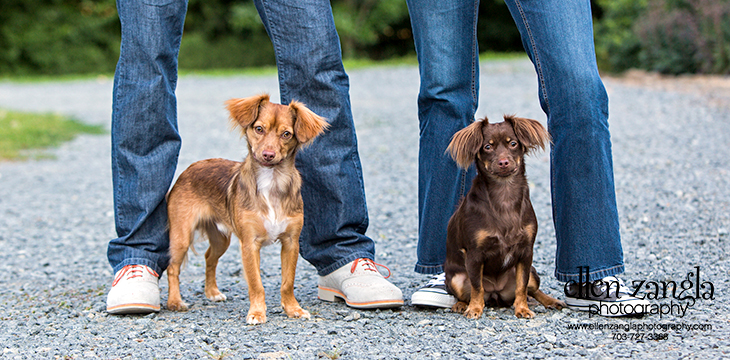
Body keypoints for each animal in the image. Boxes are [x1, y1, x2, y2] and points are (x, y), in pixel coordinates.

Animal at [165, 93, 328, 324]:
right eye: (259, 129)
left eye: (286, 134)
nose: (268, 154)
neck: (272, 181)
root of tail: (190, 168)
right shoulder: (249, 244)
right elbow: (256, 283)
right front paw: (257, 313)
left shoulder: (291, 242)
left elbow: (287, 283)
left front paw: (293, 309)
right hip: (181, 236)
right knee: (172, 267)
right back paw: (175, 302)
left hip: (221, 239)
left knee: (209, 258)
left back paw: (212, 292)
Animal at [444, 114, 564, 318]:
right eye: (487, 147)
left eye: (513, 143)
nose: (503, 162)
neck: (504, 193)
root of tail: (496, 291)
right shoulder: (474, 255)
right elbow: (477, 286)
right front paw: (474, 308)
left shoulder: (526, 253)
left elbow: (521, 286)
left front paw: (522, 308)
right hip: (455, 279)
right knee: (468, 292)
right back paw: (461, 304)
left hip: (533, 273)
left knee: (533, 289)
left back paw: (550, 300)